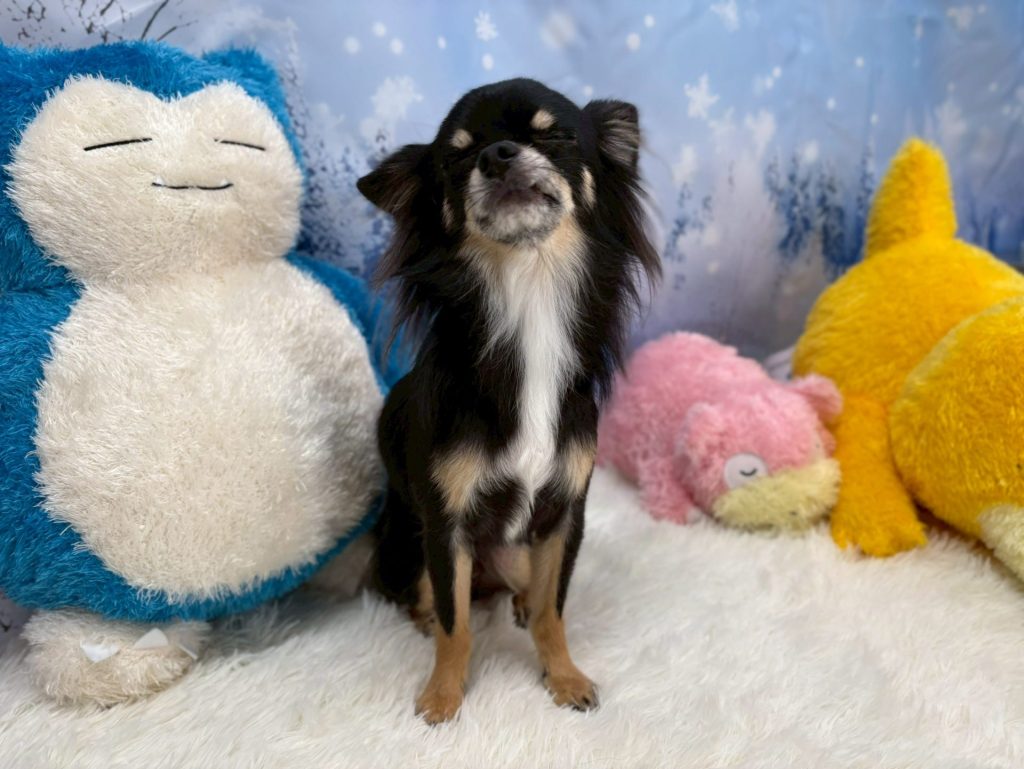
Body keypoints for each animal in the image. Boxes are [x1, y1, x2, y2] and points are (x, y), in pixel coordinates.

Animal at [358, 78, 659, 724]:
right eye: (457, 159)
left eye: (555, 135)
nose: (497, 155)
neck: (530, 295)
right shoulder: (446, 527)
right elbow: (457, 625)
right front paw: (442, 695)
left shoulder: (562, 516)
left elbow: (553, 611)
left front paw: (563, 675)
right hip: (409, 545)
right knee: (430, 596)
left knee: (521, 585)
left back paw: (516, 601)